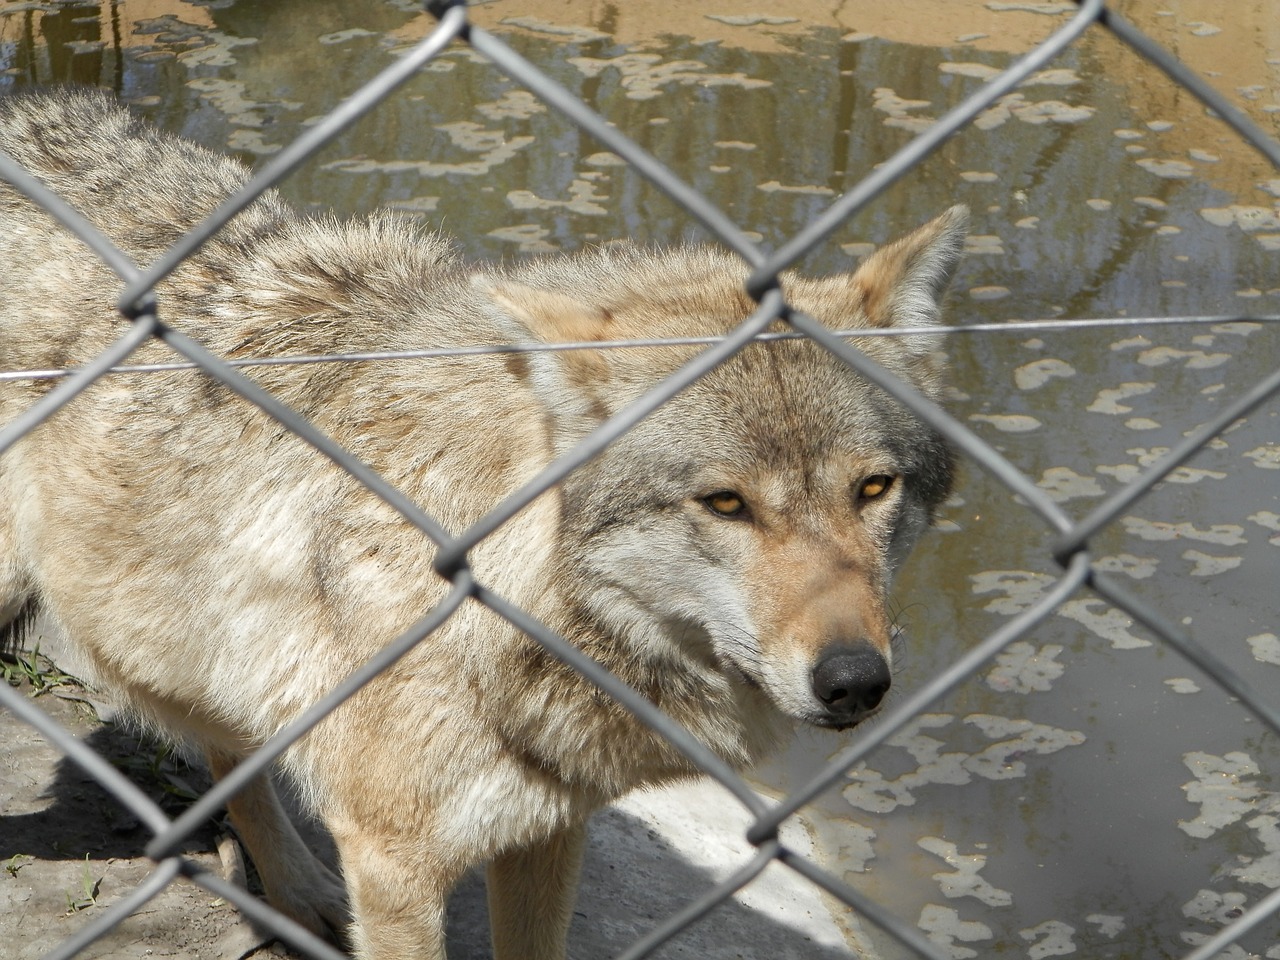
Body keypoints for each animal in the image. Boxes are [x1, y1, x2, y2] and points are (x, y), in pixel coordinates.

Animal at [0, 86, 962, 957]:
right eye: (725, 503)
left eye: (873, 489)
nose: (854, 681)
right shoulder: (394, 864)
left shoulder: (548, 828)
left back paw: (297, 895)